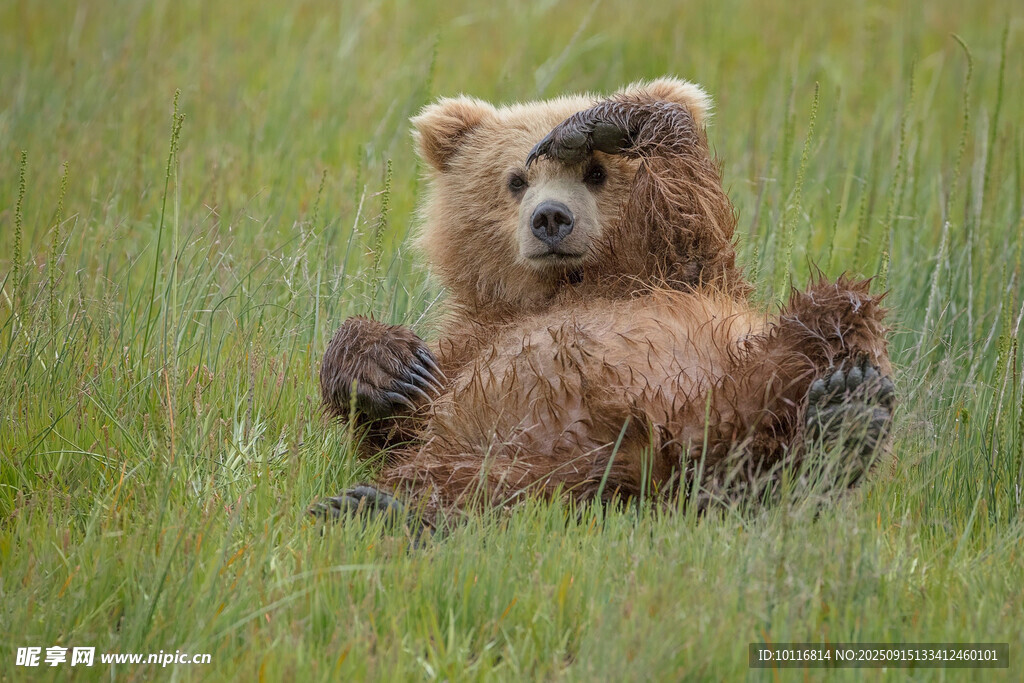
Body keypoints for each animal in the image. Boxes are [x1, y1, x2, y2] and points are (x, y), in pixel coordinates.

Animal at [312, 77, 894, 530]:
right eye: (515, 180)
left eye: (596, 173)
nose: (550, 218)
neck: (572, 283)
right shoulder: (473, 339)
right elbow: (400, 421)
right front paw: (390, 367)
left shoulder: (688, 275)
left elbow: (691, 209)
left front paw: (599, 123)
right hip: (515, 453)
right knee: (471, 485)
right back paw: (373, 508)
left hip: (748, 369)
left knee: (834, 314)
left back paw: (846, 414)